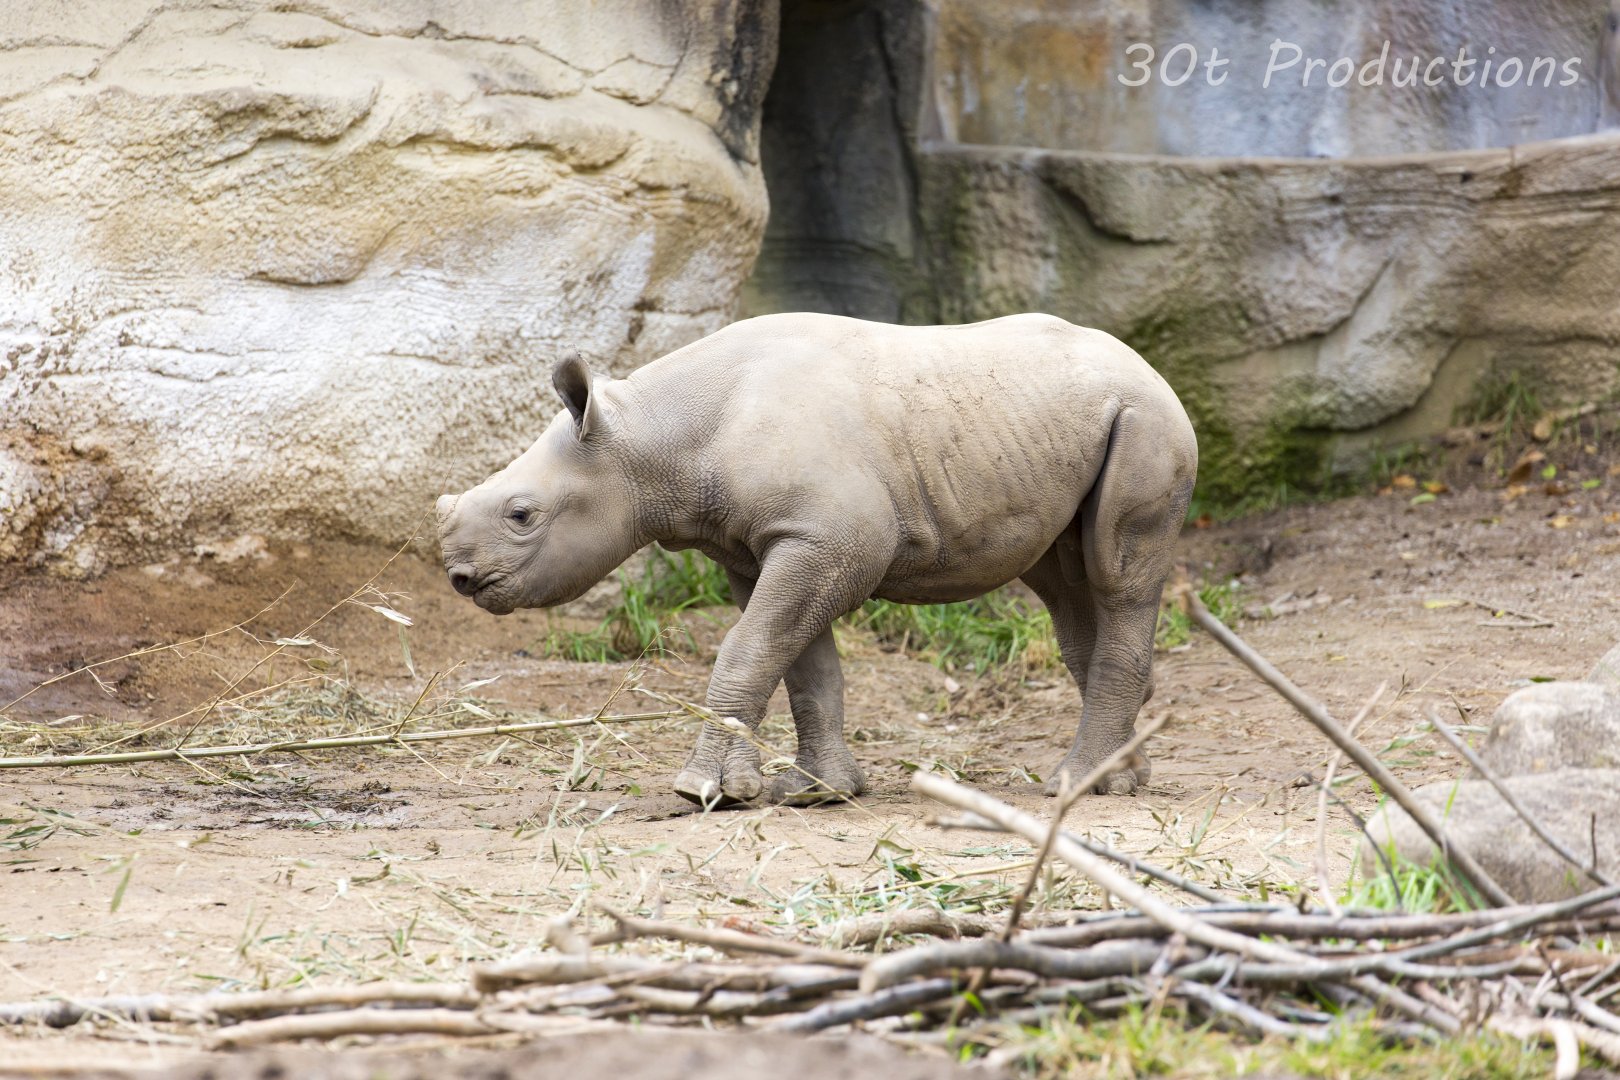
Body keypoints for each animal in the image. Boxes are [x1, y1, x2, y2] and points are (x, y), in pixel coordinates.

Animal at [435, 313, 1197, 806]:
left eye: (522, 516)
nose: (461, 578)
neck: (653, 437)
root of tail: (1152, 369)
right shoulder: (763, 546)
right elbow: (802, 663)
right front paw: (813, 792)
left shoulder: (831, 537)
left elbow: (750, 648)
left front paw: (703, 789)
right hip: (1060, 426)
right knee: (1066, 587)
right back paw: (1120, 780)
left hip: (1148, 422)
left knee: (1119, 578)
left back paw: (1077, 785)